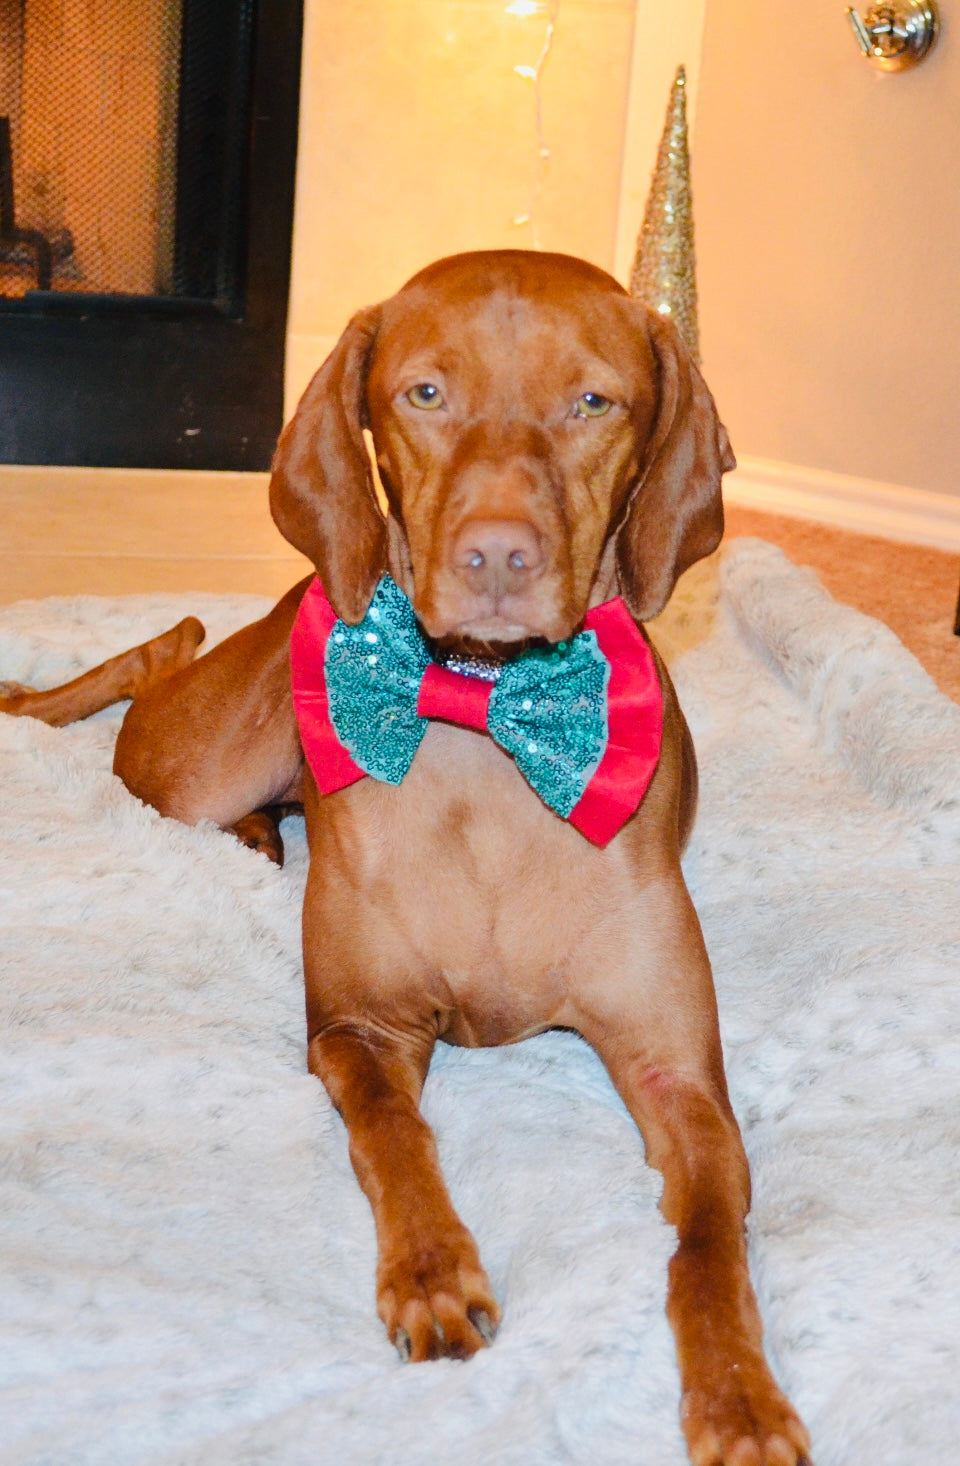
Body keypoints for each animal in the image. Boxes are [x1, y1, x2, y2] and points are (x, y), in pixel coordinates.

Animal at [3, 258, 809, 1466]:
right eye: (425, 394)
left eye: (594, 402)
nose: (498, 555)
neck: (485, 718)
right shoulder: (360, 1028)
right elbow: (396, 1140)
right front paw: (431, 1274)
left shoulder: (683, 1079)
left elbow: (710, 1244)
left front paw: (740, 1395)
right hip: (194, 763)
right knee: (157, 659)